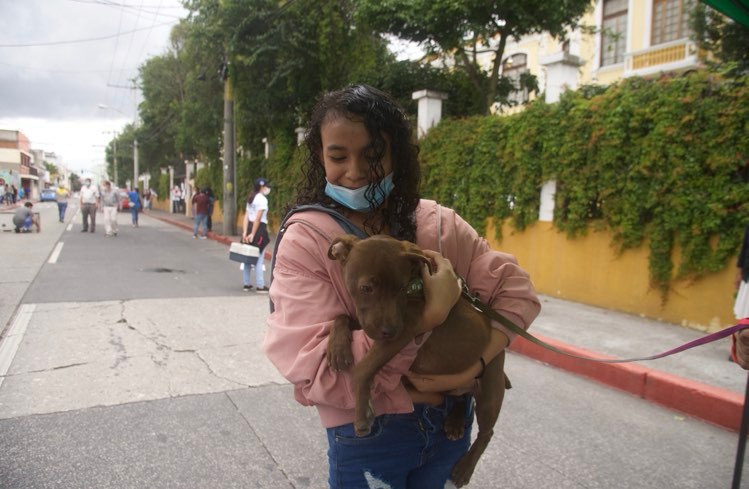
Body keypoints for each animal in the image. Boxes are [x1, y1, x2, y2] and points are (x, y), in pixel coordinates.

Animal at [326, 234, 508, 486]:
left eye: (402, 288)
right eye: (366, 288)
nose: (389, 331)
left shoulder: (406, 329)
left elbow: (363, 367)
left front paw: (363, 414)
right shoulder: (372, 325)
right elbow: (341, 316)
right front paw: (338, 348)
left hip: (491, 385)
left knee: (486, 432)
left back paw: (464, 468)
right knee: (460, 395)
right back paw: (454, 422)